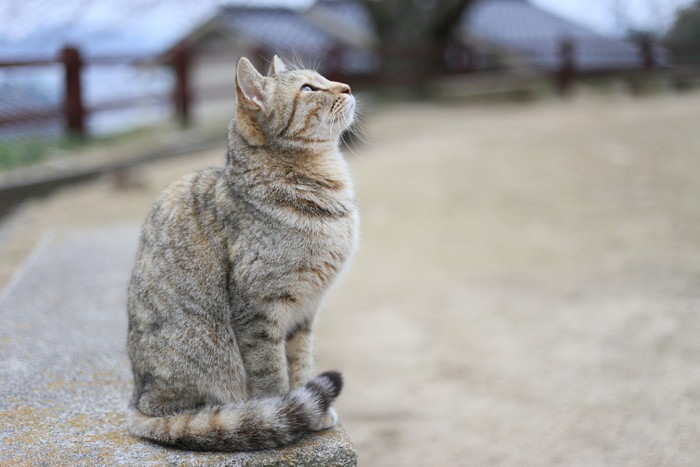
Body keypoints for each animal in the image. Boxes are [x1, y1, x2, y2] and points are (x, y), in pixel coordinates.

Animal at [126, 55, 358, 454]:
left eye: (323, 78)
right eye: (308, 89)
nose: (346, 86)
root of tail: (137, 401)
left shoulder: (305, 311)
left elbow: (301, 362)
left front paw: (310, 409)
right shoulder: (259, 313)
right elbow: (272, 375)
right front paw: (282, 412)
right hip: (208, 349)